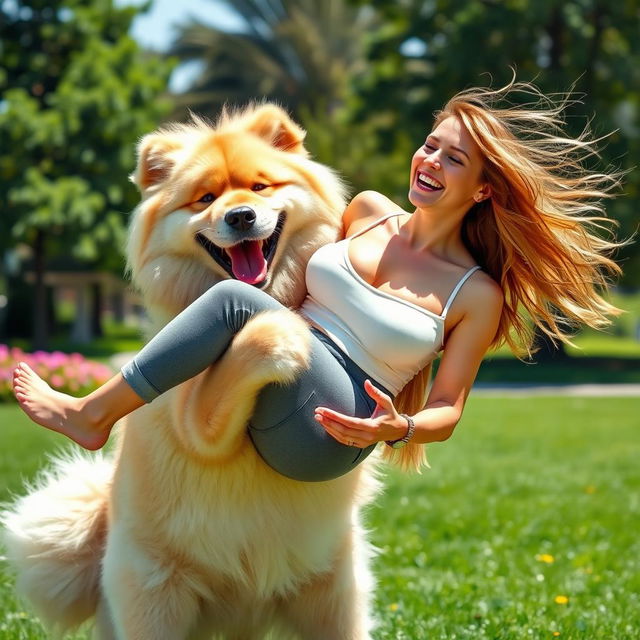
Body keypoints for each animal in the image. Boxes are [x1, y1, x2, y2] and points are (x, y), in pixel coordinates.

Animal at [2, 106, 382, 640]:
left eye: (260, 186)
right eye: (206, 198)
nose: (240, 216)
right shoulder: (191, 423)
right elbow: (216, 400)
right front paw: (281, 334)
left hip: (333, 592)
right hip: (156, 594)